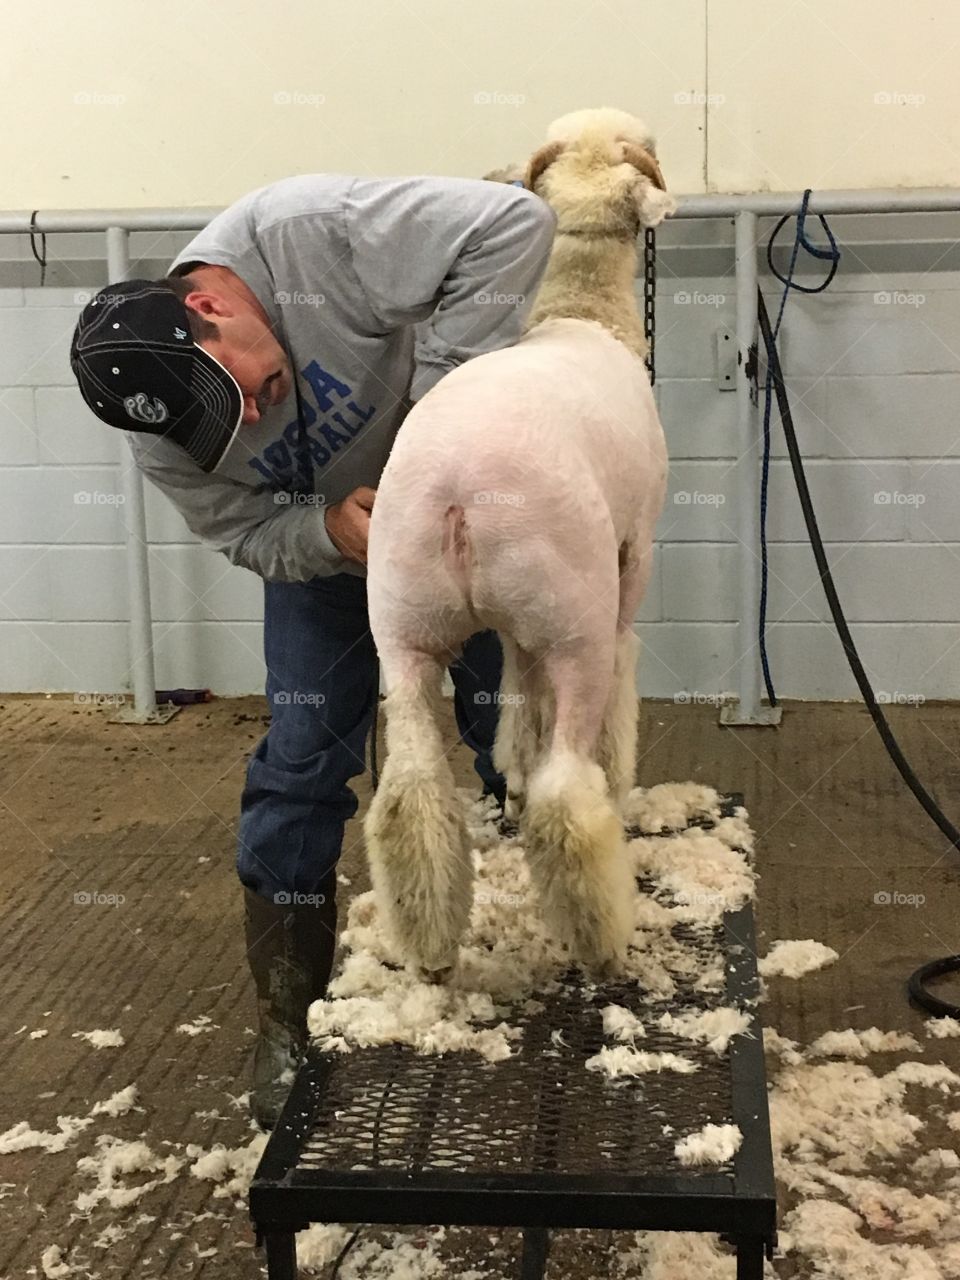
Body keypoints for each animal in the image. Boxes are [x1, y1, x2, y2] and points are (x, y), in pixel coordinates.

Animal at [363, 110, 670, 983]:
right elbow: (596, 708)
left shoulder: (513, 632)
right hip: (577, 619)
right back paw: (601, 937)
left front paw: (515, 772)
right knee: (571, 790)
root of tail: (460, 488)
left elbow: (517, 705)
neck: (585, 315)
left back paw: (430, 941)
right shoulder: (629, 567)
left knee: (411, 790)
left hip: (404, 624)